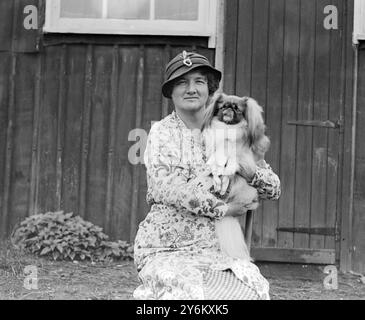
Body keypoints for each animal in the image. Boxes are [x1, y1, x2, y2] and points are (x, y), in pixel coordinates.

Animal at [202, 93, 270, 262]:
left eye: (236, 108)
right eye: (223, 106)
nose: (228, 109)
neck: (228, 130)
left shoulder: (243, 155)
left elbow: (231, 164)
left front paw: (226, 173)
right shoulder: (216, 148)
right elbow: (216, 162)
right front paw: (216, 173)